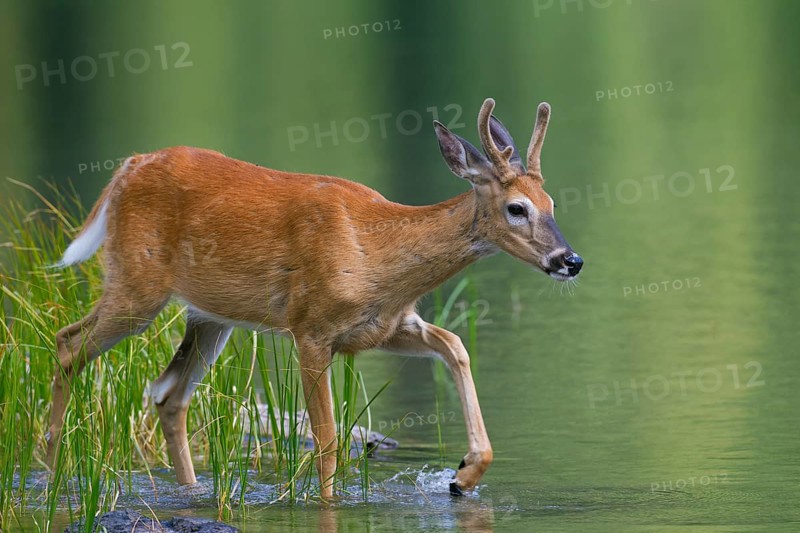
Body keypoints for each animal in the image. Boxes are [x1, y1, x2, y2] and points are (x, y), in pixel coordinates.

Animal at [46, 98, 583, 498]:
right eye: (517, 208)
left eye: (553, 204)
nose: (570, 260)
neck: (377, 253)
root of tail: (126, 168)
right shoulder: (311, 327)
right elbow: (327, 439)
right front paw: (331, 502)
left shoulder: (385, 325)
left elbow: (455, 344)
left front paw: (464, 473)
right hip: (137, 285)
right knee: (69, 343)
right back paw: (49, 473)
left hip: (210, 317)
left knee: (168, 393)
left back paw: (190, 488)